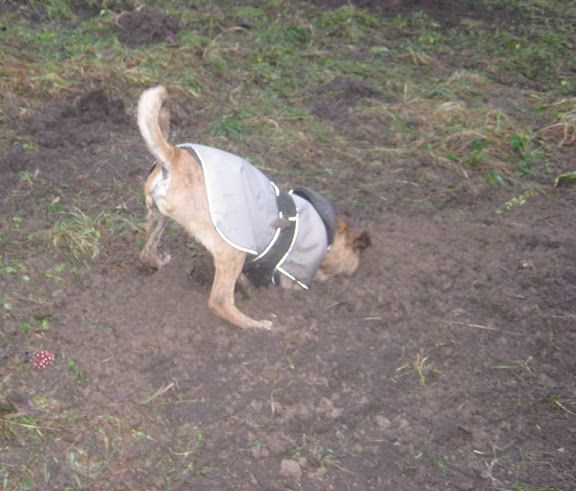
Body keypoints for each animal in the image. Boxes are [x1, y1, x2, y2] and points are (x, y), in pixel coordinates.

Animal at [137, 85, 370, 329]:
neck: (327, 232)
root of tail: (174, 155)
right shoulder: (294, 275)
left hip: (159, 220)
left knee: (146, 254)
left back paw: (158, 262)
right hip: (230, 250)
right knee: (220, 301)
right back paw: (258, 327)